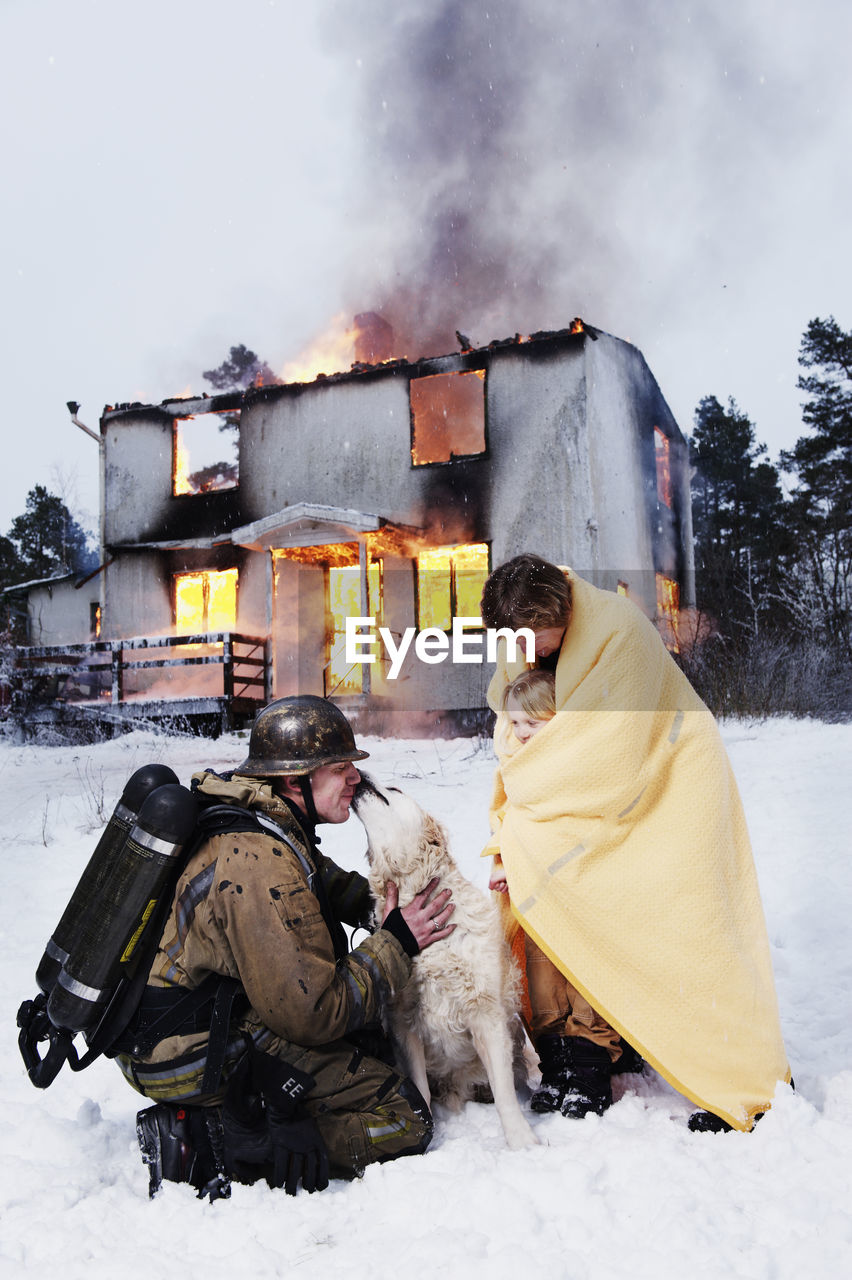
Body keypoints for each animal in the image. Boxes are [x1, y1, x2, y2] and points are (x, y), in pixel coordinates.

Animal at [350, 773, 537, 1157]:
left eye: (395, 790)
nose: (360, 775)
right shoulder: (403, 1023)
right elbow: (419, 1091)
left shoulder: (487, 1015)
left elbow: (504, 1094)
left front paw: (521, 1140)